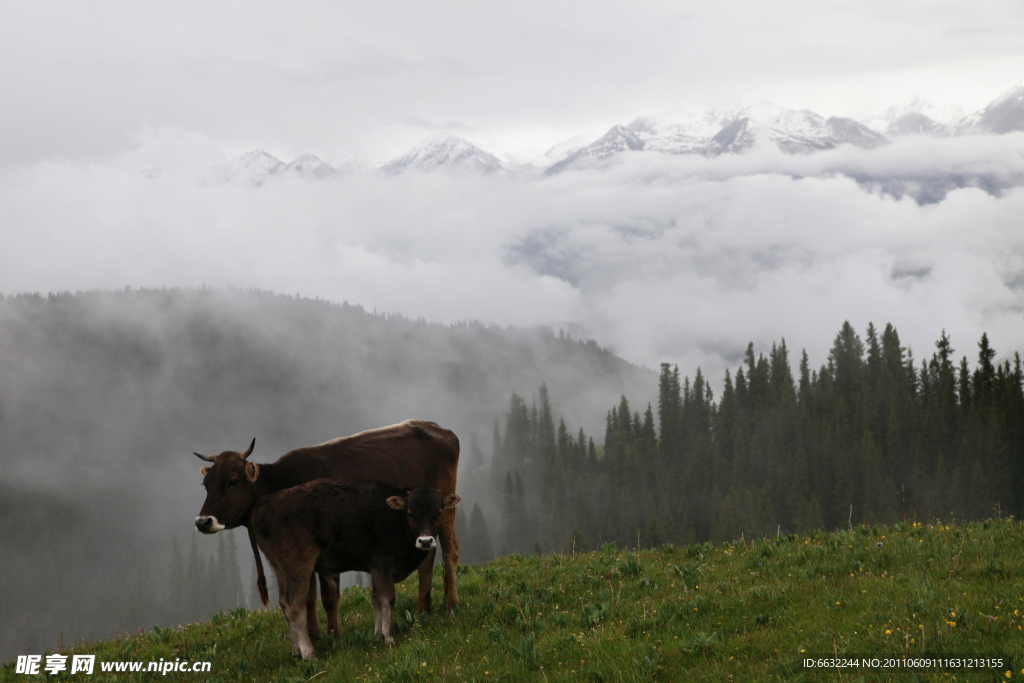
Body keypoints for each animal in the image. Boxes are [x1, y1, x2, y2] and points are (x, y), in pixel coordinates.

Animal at [191, 417, 460, 643]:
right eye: (205, 484)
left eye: (233, 481)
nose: (202, 521)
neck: (281, 482)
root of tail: (438, 428)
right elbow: (309, 599)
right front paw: (315, 636)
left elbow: (329, 598)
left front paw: (334, 636)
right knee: (428, 556)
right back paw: (422, 610)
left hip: (445, 509)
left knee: (450, 553)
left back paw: (451, 607)